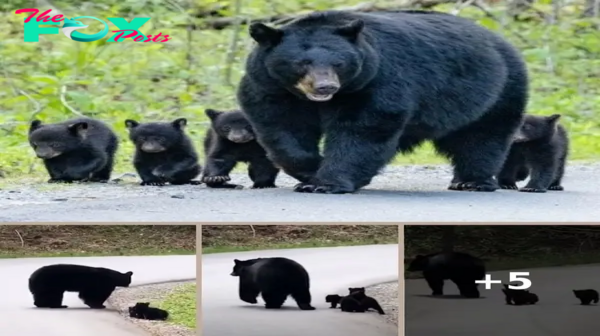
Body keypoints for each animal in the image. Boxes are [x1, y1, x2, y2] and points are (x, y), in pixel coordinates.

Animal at [237, 9, 528, 194]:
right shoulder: (271, 86)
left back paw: (472, 181)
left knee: (482, 137)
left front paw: (326, 182)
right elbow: (284, 127)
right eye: (302, 63)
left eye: (338, 63)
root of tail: (502, 41)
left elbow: (363, 129)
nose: (325, 86)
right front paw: (310, 171)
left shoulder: (374, 81)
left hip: (497, 90)